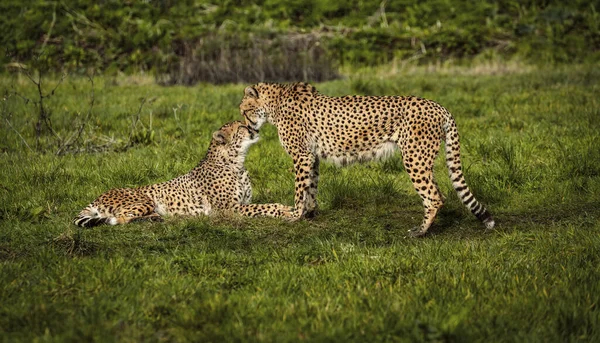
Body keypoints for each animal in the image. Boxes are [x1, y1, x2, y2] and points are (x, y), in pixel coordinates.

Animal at [74, 121, 294, 228]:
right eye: (241, 126)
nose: (255, 129)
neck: (236, 162)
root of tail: (99, 196)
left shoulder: (243, 203)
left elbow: (259, 206)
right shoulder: (227, 209)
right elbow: (264, 206)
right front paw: (285, 210)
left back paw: (157, 217)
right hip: (144, 200)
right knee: (120, 218)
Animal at [238, 83, 492, 238]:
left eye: (244, 111)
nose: (249, 128)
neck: (275, 103)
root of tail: (438, 105)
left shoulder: (302, 155)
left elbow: (300, 190)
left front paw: (294, 216)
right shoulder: (312, 156)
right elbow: (312, 186)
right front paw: (309, 213)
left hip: (414, 159)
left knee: (434, 196)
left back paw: (420, 231)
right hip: (422, 160)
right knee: (438, 192)